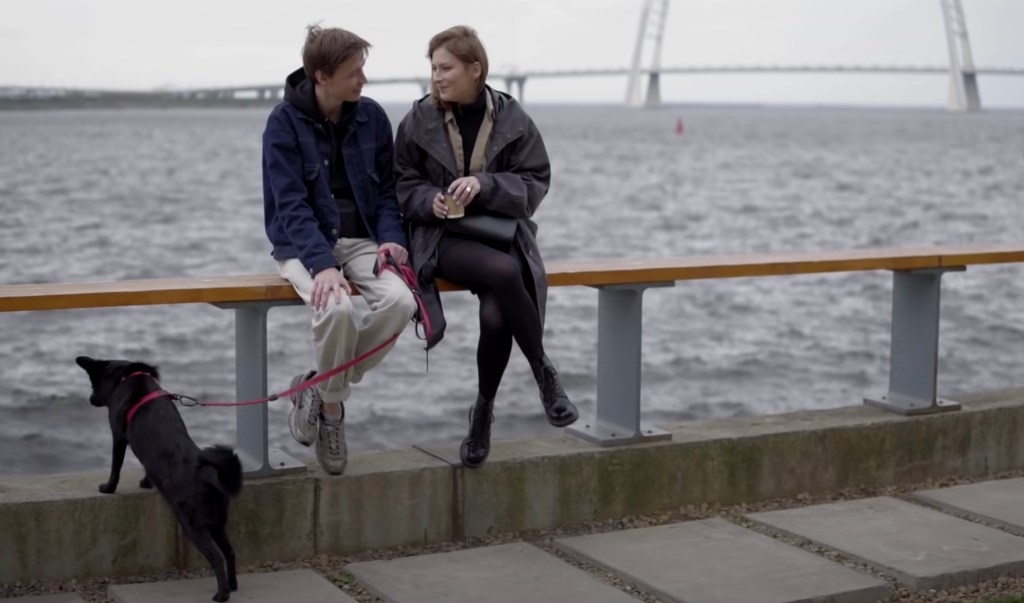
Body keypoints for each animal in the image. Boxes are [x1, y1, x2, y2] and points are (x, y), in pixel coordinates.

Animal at [76, 356, 243, 602]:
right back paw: (232, 585)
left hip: (193, 524)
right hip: (218, 520)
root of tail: (206, 473)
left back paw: (221, 594)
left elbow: (115, 467)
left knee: (216, 557)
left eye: (92, 383)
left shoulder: (118, 436)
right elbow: (147, 467)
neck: (128, 378)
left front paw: (108, 487)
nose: (90, 399)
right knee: (230, 551)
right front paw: (146, 483)